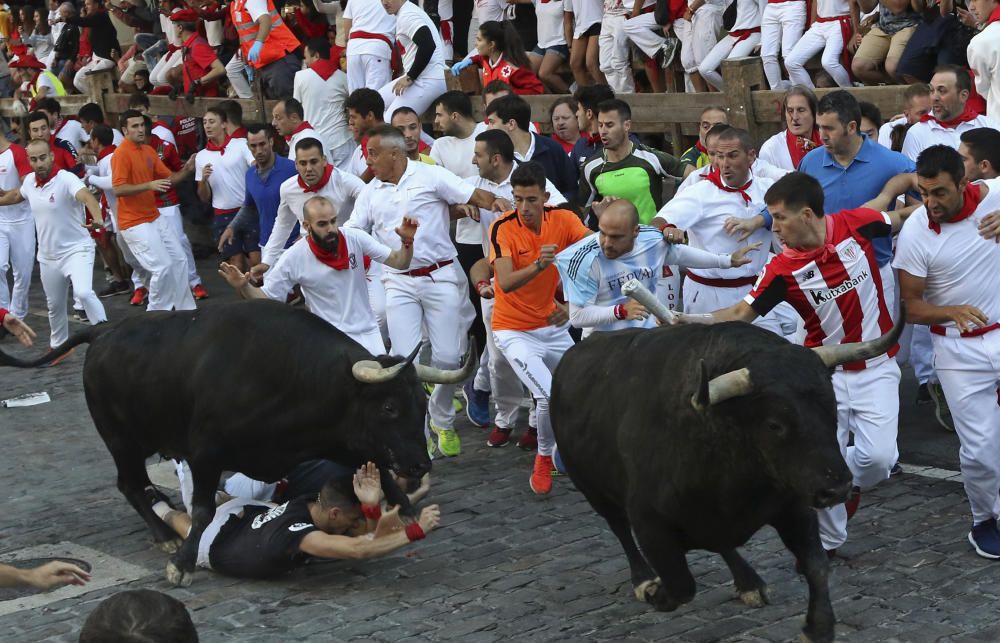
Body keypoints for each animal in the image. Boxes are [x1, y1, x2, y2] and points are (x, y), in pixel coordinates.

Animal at [0, 302, 476, 588]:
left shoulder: (338, 438)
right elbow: (202, 510)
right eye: (390, 407)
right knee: (130, 484)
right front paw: (182, 565)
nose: (419, 464)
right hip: (121, 438)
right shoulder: (205, 453)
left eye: (421, 403)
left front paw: (407, 512)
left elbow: (384, 479)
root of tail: (104, 331)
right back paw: (165, 538)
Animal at [552, 310, 904, 640]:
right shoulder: (649, 521)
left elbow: (816, 564)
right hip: (592, 488)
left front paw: (818, 628)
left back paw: (748, 581)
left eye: (833, 408)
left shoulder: (792, 505)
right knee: (620, 529)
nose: (837, 488)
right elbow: (680, 585)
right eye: (774, 424)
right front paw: (656, 592)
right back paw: (643, 579)